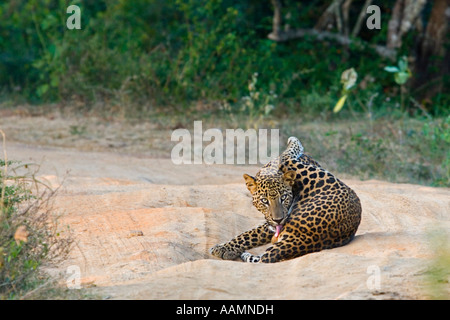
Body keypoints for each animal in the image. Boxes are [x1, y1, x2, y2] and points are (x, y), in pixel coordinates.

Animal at [210, 136, 362, 264]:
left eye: (283, 198)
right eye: (264, 201)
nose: (278, 220)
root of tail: (306, 239)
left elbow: (249, 234)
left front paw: (223, 248)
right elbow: (252, 234)